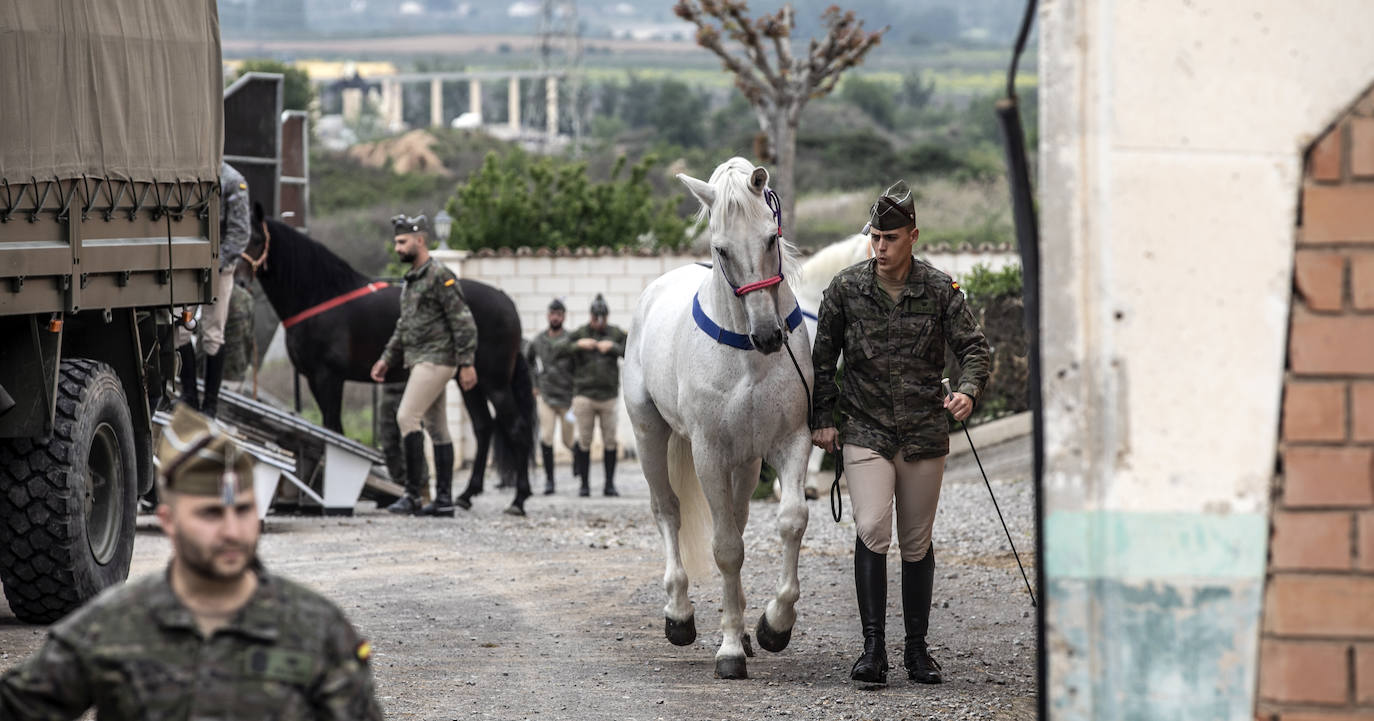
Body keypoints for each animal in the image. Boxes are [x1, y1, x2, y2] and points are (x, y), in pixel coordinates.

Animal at [239, 204, 533, 510]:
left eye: (257, 239)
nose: (239, 280)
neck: (318, 298)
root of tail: (506, 301)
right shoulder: (314, 379)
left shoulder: (328, 378)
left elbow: (332, 430)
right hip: (468, 382)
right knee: (483, 427)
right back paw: (465, 495)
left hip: (494, 383)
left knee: (517, 428)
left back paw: (518, 500)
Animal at [626, 157, 813, 681]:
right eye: (720, 249)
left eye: (770, 238)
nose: (768, 336)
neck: (746, 356)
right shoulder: (708, 453)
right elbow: (726, 547)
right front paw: (729, 650)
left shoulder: (791, 441)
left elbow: (791, 520)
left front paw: (773, 625)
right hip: (650, 433)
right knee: (667, 510)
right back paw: (679, 615)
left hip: (745, 463)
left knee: (741, 515)